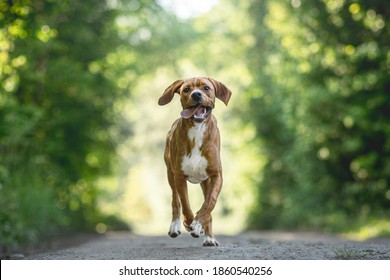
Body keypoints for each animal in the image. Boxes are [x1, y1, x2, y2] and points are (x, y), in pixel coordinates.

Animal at [158, 76, 232, 245]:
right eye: (186, 89)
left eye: (206, 88)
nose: (196, 94)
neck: (197, 131)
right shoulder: (179, 176)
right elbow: (185, 203)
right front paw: (189, 223)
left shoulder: (216, 175)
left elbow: (210, 202)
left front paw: (198, 224)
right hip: (170, 173)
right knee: (175, 199)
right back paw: (176, 225)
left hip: (205, 181)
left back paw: (209, 236)